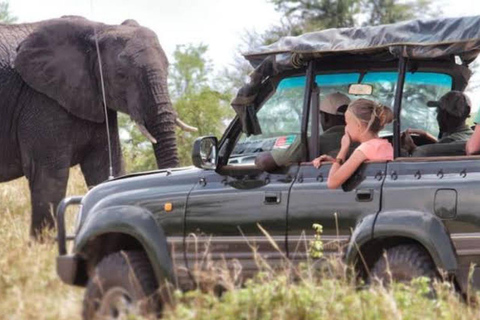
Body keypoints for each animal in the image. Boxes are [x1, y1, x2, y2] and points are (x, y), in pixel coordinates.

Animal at [1, 16, 193, 238]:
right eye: (121, 75)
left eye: (168, 68)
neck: (100, 29)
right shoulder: (40, 99)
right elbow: (48, 176)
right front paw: (45, 244)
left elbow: (105, 168)